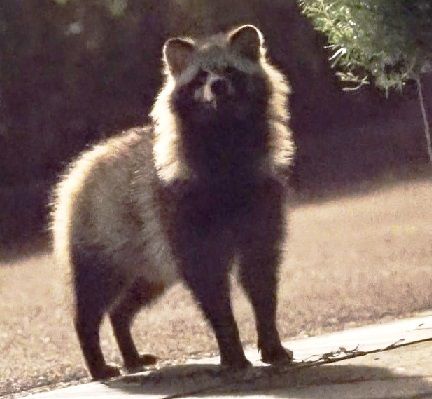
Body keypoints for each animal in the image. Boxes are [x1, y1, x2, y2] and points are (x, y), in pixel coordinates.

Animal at [50, 25, 294, 382]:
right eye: (200, 76)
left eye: (229, 70)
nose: (217, 85)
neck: (225, 135)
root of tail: (85, 162)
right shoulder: (183, 214)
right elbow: (212, 291)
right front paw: (231, 349)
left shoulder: (261, 204)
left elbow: (261, 278)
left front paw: (271, 343)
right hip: (100, 242)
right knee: (91, 302)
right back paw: (94, 357)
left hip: (148, 264)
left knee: (125, 306)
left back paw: (128, 347)